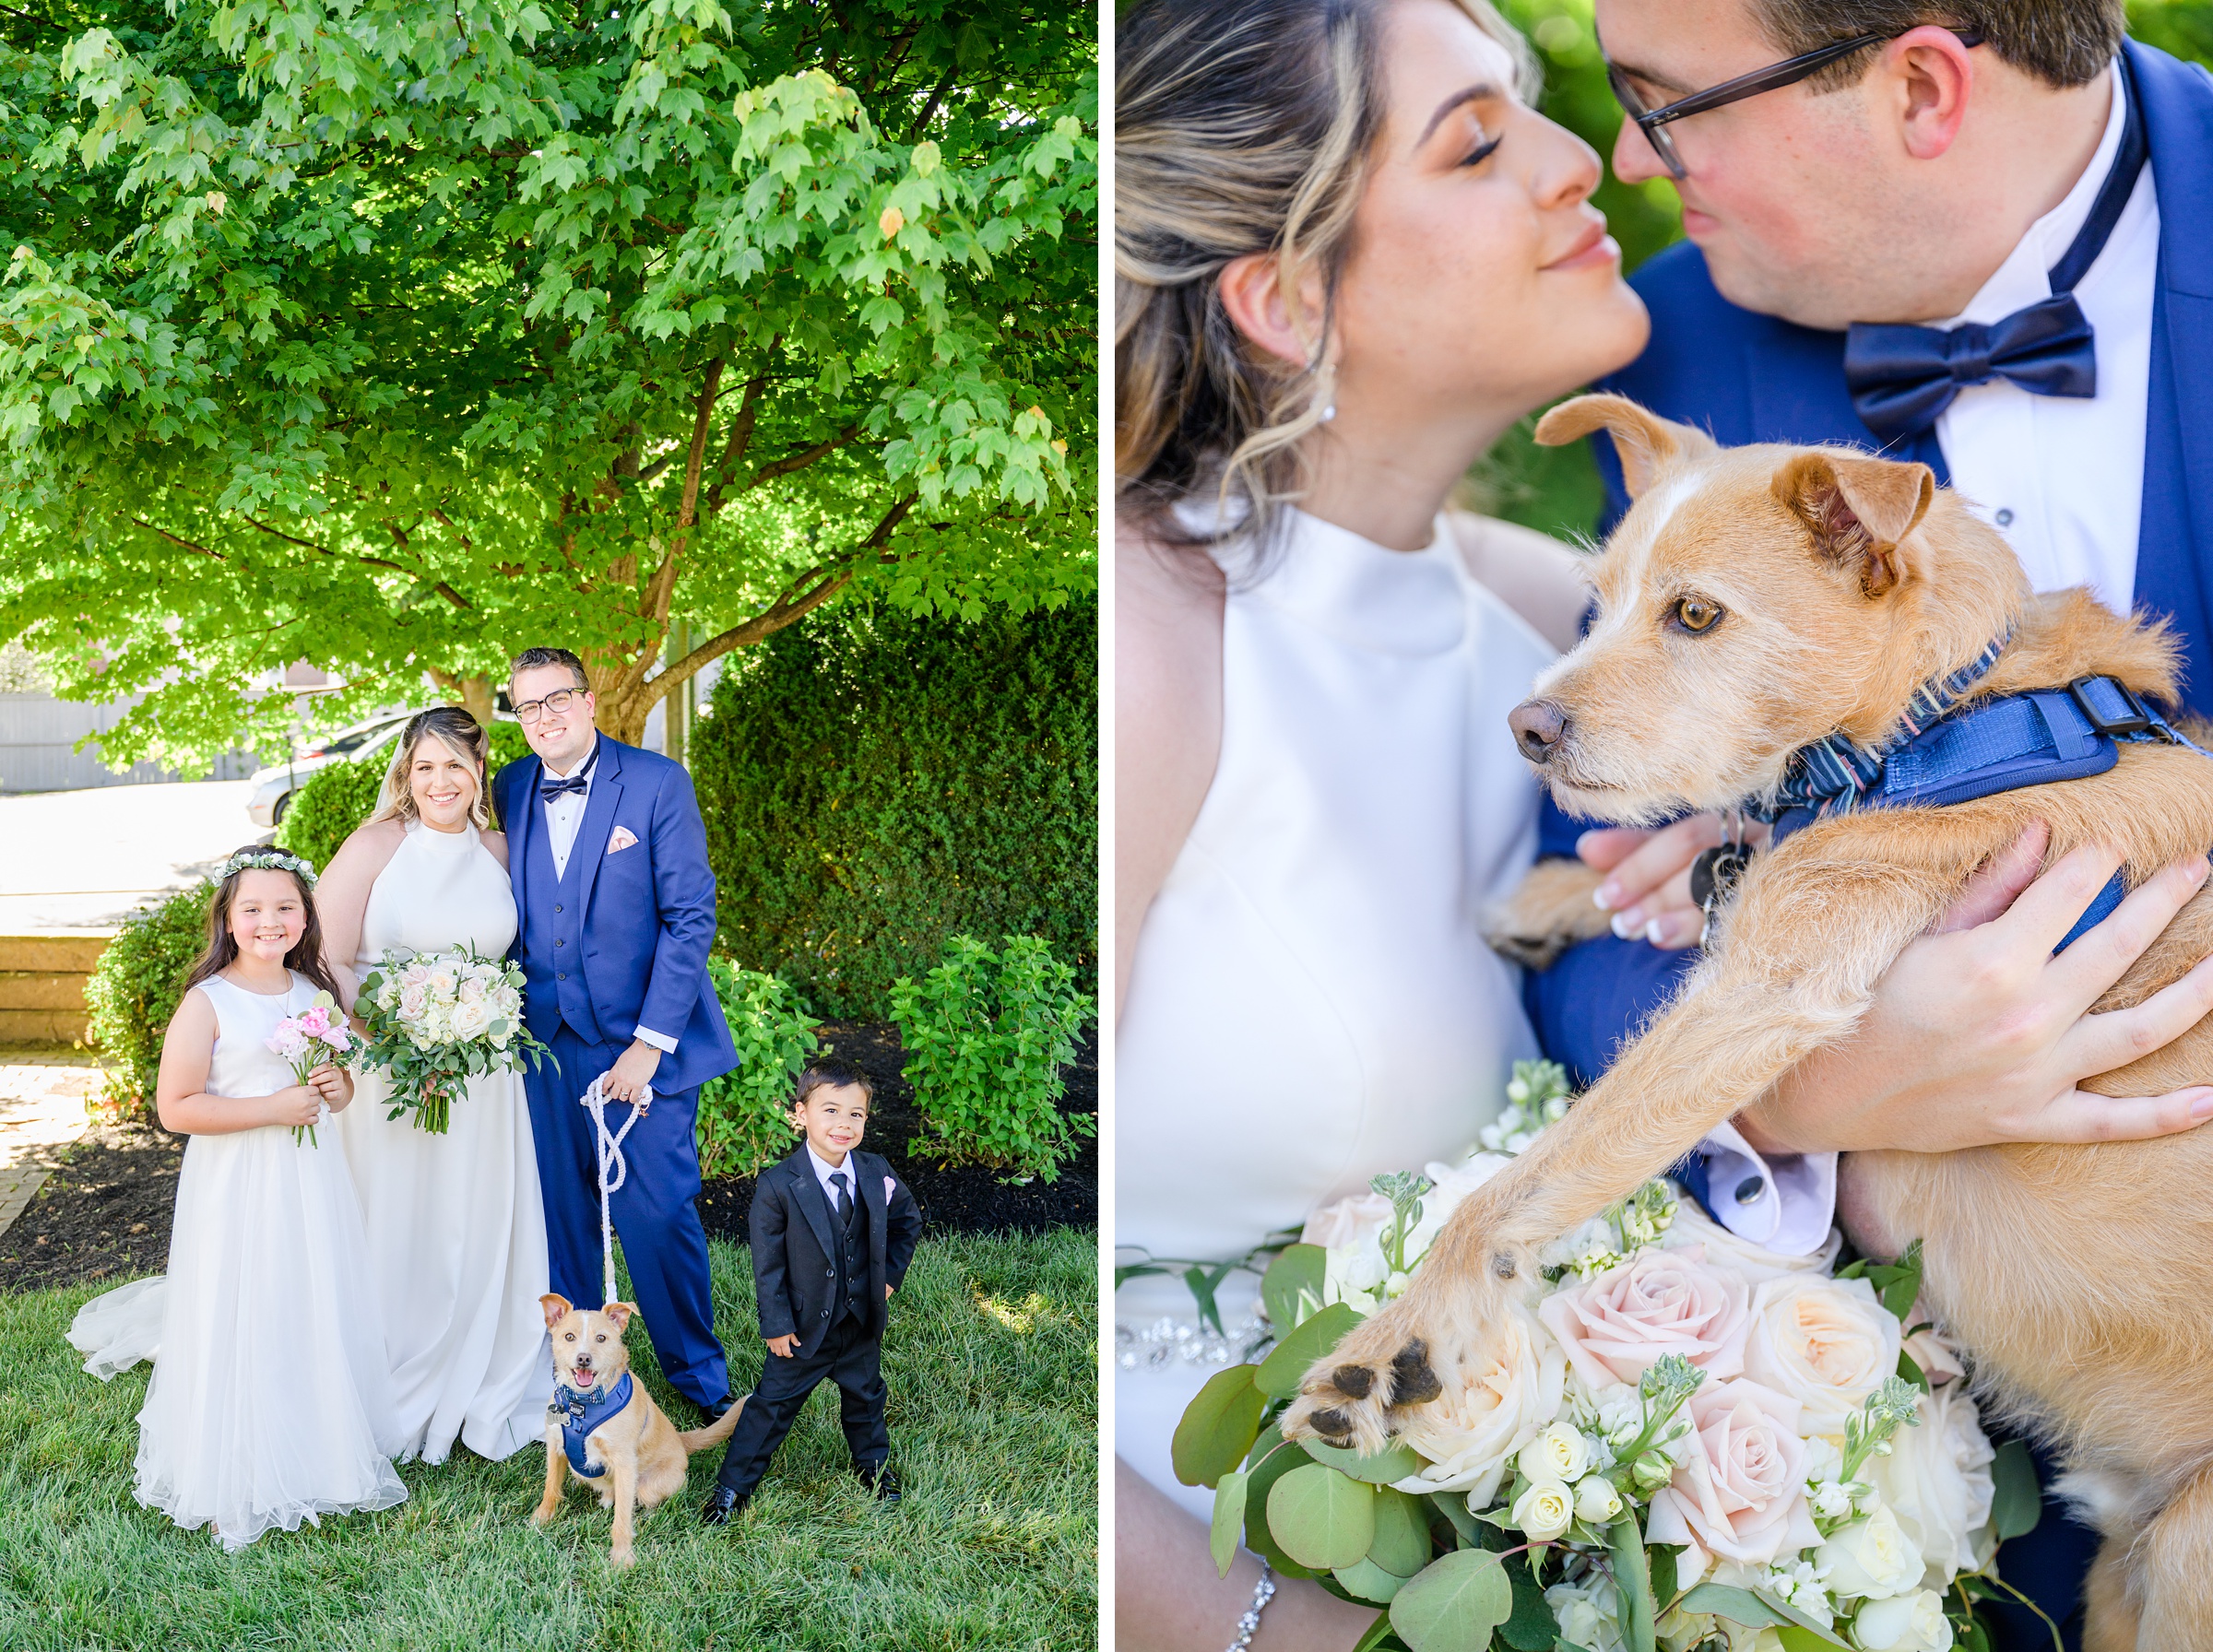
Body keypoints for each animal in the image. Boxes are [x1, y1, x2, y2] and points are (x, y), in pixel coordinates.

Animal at [531, 1300, 748, 1575]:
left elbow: (622, 1518)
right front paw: (541, 1519)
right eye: (569, 1337)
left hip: (647, 1487)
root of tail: (680, 1440)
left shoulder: (624, 1463)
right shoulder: (555, 1447)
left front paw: (622, 1558)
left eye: (601, 1338)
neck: (584, 1404)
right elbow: (550, 1487)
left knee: (645, 1500)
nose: (584, 1359)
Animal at [1284, 394, 2213, 1645]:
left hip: (2188, 1554)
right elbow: (1710, 857)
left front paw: (1393, 1353)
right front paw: (1565, 894)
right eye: (1603, 597)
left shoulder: (1769, 982)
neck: (1951, 718)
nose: (1529, 727)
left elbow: (1518, 1184)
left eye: (1695, 614)